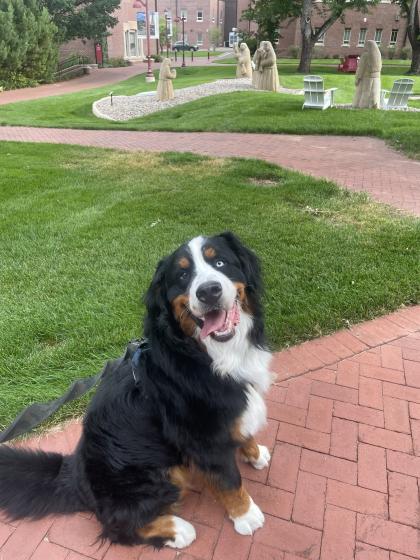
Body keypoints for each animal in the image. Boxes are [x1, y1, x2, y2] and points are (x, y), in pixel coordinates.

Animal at [0, 232, 272, 552]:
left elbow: (244, 432)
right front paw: (246, 516)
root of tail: (74, 473)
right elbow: (230, 481)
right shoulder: (204, 438)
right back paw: (178, 530)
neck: (205, 353)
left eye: (219, 262)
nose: (208, 291)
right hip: (157, 475)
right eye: (183, 276)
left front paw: (255, 453)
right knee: (119, 526)